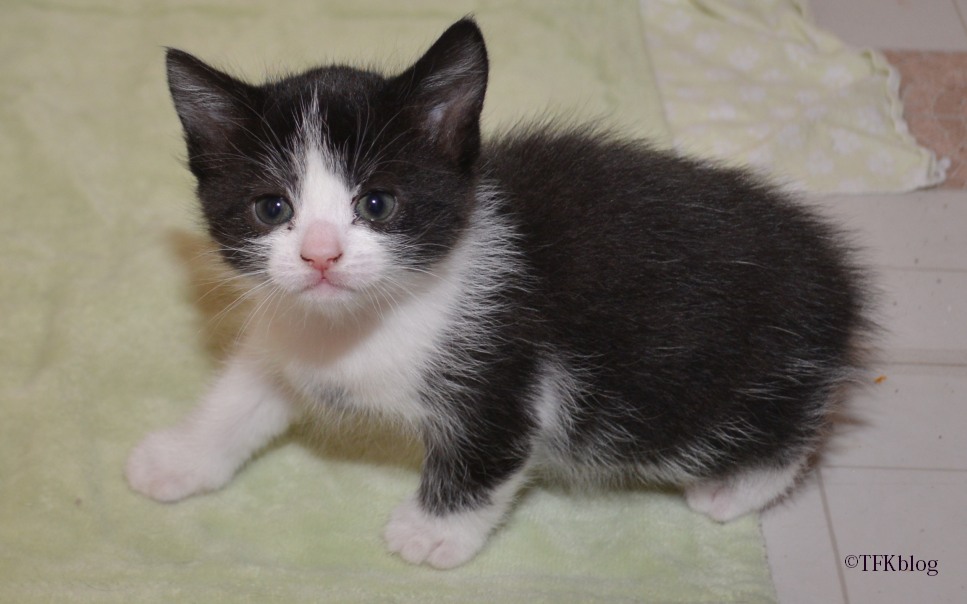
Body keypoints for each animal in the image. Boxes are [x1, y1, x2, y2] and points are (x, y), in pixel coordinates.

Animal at [125, 16, 872, 568]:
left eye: (377, 203)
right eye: (271, 208)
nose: (320, 255)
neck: (364, 322)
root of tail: (835, 277)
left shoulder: (512, 368)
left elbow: (491, 452)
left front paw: (432, 532)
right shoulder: (289, 329)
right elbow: (244, 393)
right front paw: (182, 458)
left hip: (699, 382)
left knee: (787, 425)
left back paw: (736, 489)